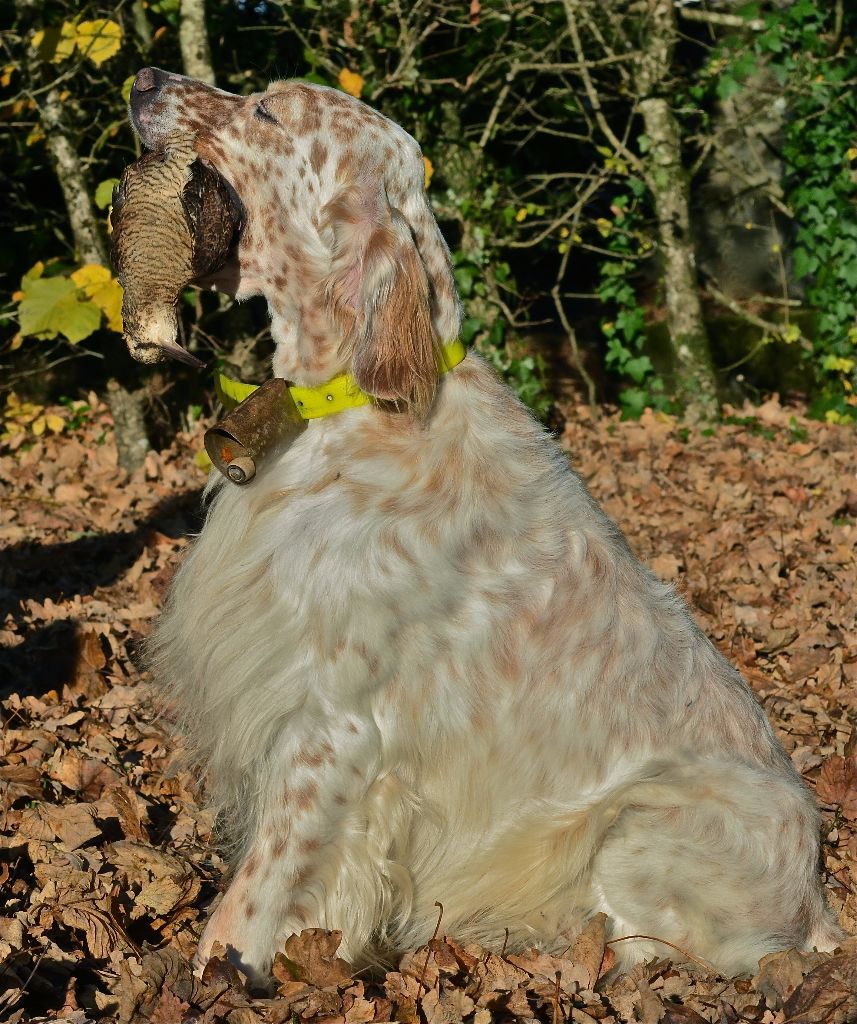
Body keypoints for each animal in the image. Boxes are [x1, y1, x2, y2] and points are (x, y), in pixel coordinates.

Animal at [130, 67, 843, 983]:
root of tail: (820, 908)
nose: (146, 76)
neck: (346, 406)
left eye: (267, 110)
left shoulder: (332, 724)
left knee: (654, 952)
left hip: (637, 824)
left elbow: (256, 890)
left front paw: (215, 974)